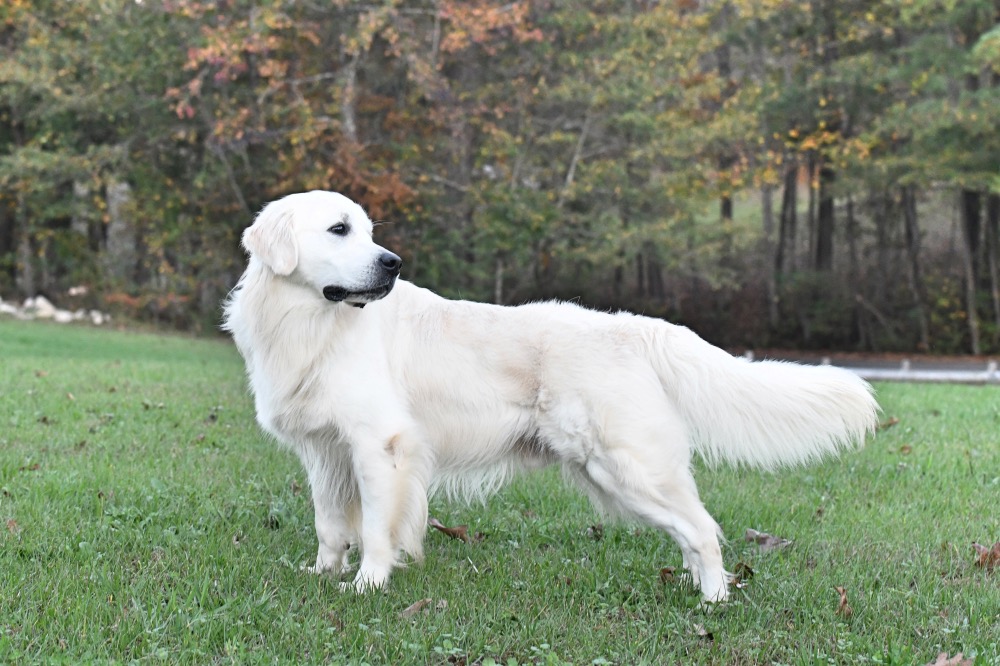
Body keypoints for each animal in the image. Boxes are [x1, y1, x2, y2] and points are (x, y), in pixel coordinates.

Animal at [223, 189, 880, 600]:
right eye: (340, 229)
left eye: (367, 232)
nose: (393, 263)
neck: (309, 321)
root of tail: (635, 327)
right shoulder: (324, 452)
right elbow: (330, 525)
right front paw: (322, 575)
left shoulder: (381, 444)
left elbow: (379, 528)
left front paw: (368, 585)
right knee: (692, 533)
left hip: (626, 466)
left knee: (702, 529)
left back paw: (714, 603)